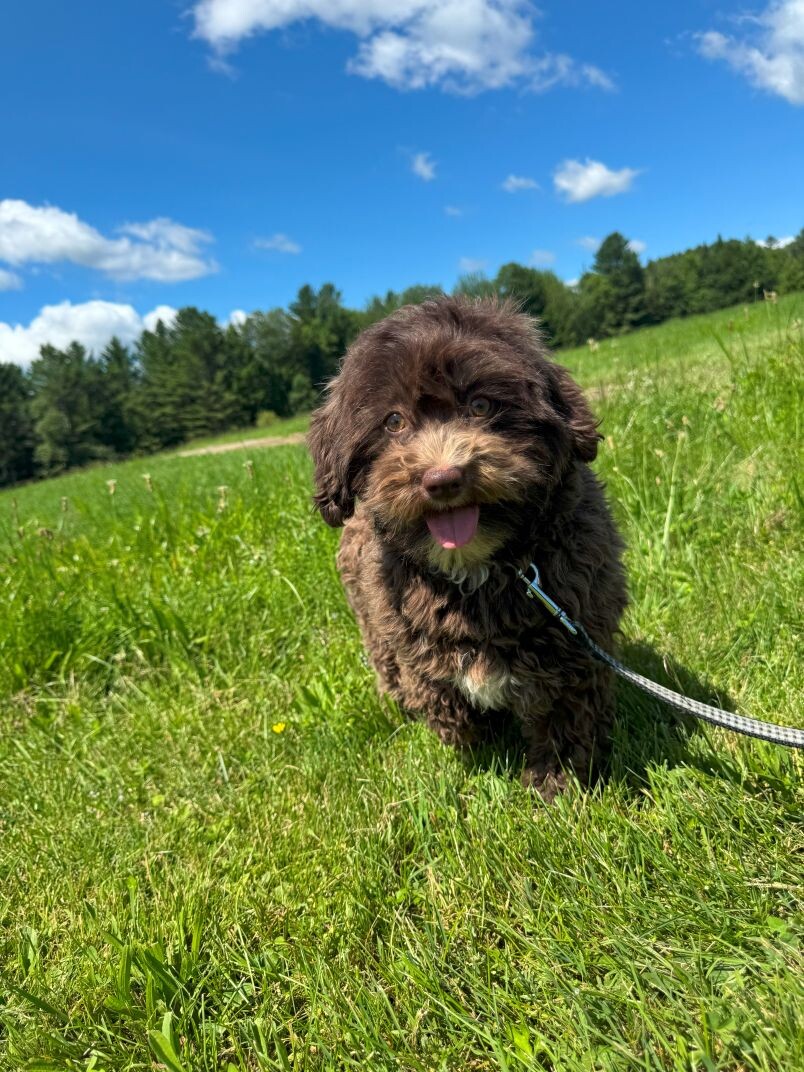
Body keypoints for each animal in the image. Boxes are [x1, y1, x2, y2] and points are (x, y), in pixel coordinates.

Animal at [308, 296, 627, 799]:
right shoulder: (414, 644)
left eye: (480, 404)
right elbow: (447, 704)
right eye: (393, 421)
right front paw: (478, 740)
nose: (443, 478)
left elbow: (563, 721)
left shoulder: (574, 646)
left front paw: (554, 785)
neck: (478, 570)